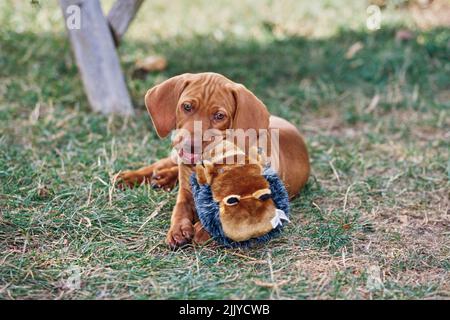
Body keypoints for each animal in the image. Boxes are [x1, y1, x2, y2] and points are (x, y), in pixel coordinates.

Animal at [118, 72, 312, 248]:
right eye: (186, 106)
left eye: (219, 116)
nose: (190, 146)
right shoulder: (185, 193)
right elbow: (179, 209)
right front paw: (178, 229)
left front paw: (203, 229)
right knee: (163, 163)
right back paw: (131, 177)